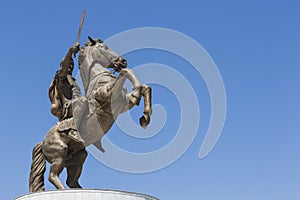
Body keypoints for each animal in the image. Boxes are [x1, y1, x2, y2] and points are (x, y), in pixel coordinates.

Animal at [29, 36, 152, 192]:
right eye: (104, 47)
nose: (122, 61)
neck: (98, 77)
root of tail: (42, 142)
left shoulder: (124, 103)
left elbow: (146, 88)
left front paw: (145, 118)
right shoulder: (108, 94)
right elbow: (126, 72)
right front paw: (137, 95)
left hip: (78, 156)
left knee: (71, 181)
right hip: (59, 153)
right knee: (53, 176)